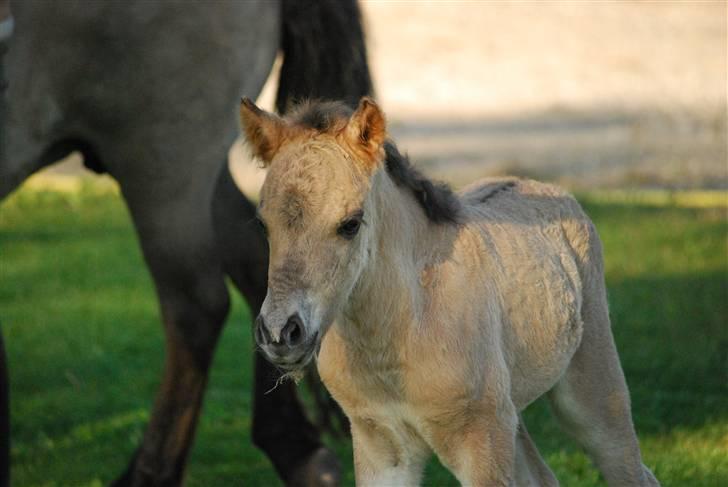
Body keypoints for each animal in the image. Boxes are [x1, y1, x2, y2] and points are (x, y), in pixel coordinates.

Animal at [240, 96, 660, 487]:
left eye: (351, 223)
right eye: (262, 224)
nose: (281, 333)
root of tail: (547, 187)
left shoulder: (481, 444)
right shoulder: (381, 444)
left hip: (593, 394)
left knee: (632, 470)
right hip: (510, 413)